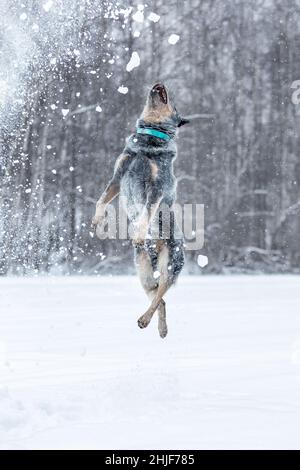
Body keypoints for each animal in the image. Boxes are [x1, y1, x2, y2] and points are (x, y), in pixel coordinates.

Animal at [92, 82, 189, 336]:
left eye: (174, 104)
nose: (160, 83)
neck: (147, 145)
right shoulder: (117, 177)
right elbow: (101, 200)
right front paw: (97, 220)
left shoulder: (156, 188)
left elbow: (146, 212)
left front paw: (138, 233)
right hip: (143, 273)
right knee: (159, 299)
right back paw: (160, 327)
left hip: (170, 265)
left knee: (161, 292)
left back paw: (146, 320)